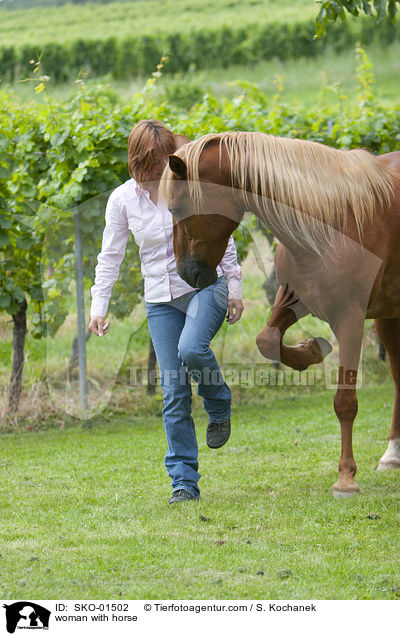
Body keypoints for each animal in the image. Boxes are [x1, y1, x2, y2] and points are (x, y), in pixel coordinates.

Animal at [159, 132, 400, 500]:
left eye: (178, 208)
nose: (187, 274)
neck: (331, 220)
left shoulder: (350, 319)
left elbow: (345, 402)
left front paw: (345, 478)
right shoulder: (291, 300)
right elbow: (267, 340)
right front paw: (311, 350)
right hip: (389, 317)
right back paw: (393, 454)